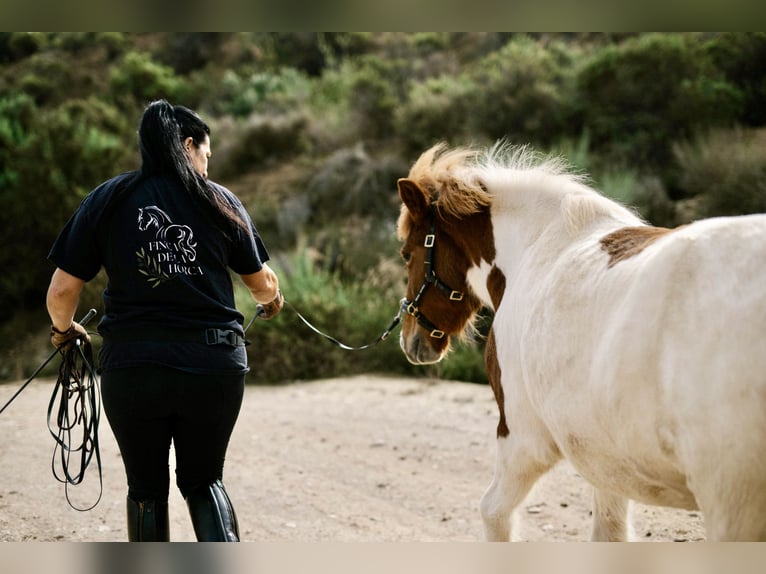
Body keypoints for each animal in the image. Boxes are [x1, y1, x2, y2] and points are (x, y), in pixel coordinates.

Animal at [396, 141, 766, 541]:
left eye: (407, 253)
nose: (410, 339)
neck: (537, 248)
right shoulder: (608, 458)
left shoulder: (523, 439)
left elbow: (494, 514)